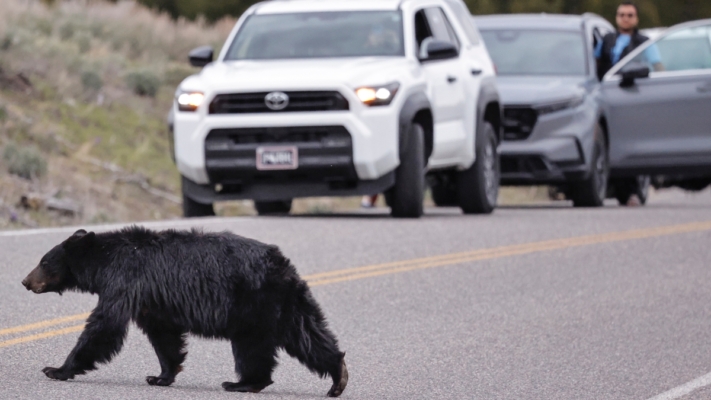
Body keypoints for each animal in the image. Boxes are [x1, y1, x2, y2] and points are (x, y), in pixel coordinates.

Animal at [21, 226, 348, 397]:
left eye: (44, 262)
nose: (25, 281)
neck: (104, 259)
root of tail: (282, 263)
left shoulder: (125, 280)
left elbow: (104, 326)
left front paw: (57, 369)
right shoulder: (152, 301)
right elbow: (164, 336)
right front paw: (161, 376)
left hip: (252, 303)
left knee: (252, 346)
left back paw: (241, 382)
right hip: (287, 303)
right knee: (308, 335)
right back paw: (338, 376)